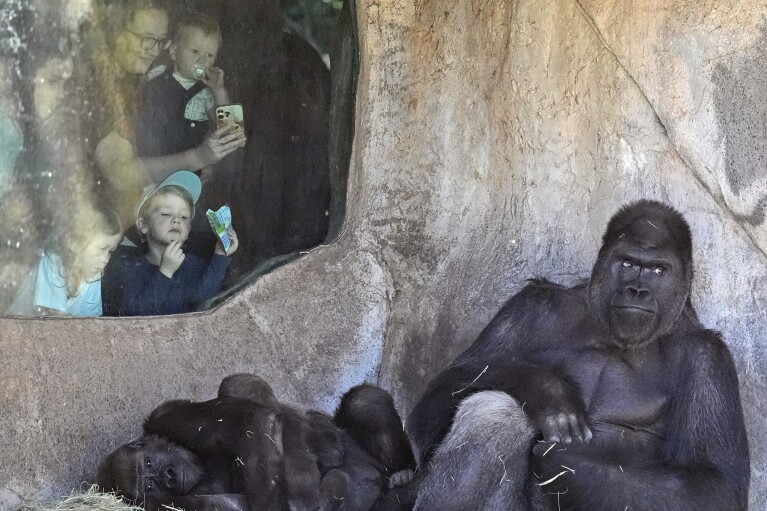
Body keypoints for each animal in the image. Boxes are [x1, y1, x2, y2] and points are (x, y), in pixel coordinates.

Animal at [100, 372, 420, 511]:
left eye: (150, 463)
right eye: (148, 485)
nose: (166, 476)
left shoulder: (165, 415)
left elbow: (244, 418)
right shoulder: (170, 506)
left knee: (363, 401)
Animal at [408, 201, 752, 511]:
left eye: (658, 270)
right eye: (627, 264)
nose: (637, 291)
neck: (613, 338)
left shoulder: (707, 358)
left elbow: (713, 483)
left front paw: (562, 460)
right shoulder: (534, 305)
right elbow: (434, 407)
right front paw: (548, 391)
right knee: (493, 408)